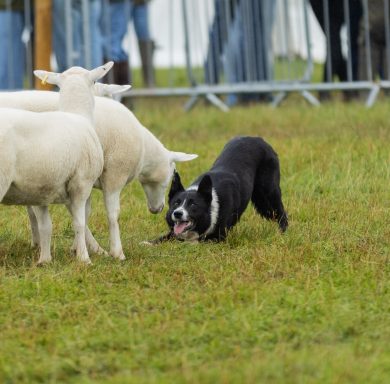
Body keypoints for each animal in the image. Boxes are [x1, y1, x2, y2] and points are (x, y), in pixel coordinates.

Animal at [0, 64, 114, 266]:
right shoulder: (81, 183)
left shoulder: (37, 190)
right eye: (94, 81)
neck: (77, 113)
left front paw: (44, 261)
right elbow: (80, 222)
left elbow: (45, 226)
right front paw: (84, 259)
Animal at [0, 89, 198, 260]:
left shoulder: (82, 181)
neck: (143, 151)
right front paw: (115, 252)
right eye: (170, 177)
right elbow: (112, 215)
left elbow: (83, 214)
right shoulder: (112, 177)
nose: (158, 209)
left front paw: (79, 248)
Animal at [151, 136, 288, 242]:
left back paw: (281, 234)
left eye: (193, 204)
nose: (177, 213)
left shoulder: (217, 237)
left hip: (268, 193)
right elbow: (160, 239)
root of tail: (259, 139)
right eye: (176, 203)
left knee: (282, 213)